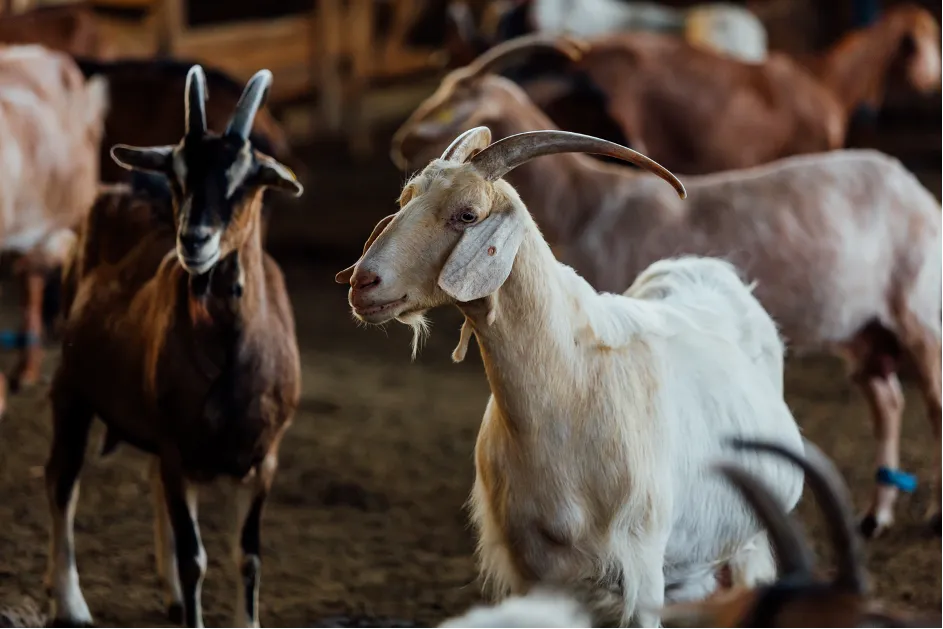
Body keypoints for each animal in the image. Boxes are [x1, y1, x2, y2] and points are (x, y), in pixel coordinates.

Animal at [45, 65, 303, 628]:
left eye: (248, 179)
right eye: (178, 177)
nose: (194, 240)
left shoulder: (264, 459)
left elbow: (248, 557)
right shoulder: (176, 448)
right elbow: (195, 557)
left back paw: (169, 597)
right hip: (72, 389)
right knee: (62, 481)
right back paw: (70, 602)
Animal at [338, 125, 805, 627]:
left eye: (467, 214)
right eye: (405, 200)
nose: (363, 282)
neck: (568, 390)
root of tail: (704, 265)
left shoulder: (642, 566)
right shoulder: (532, 568)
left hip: (746, 546)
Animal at [390, 36, 943, 540]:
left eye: (456, 102)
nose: (400, 142)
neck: (587, 203)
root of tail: (917, 192)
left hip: (918, 313)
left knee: (933, 402)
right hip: (863, 330)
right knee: (887, 401)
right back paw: (875, 515)